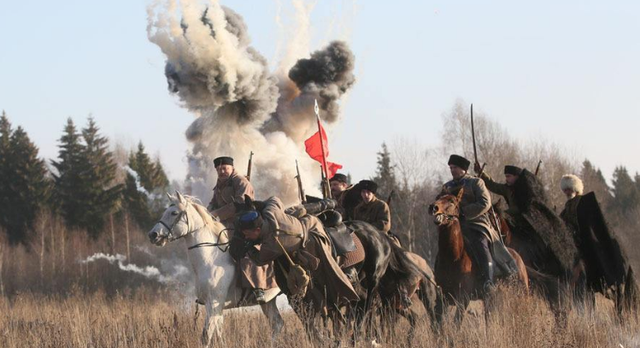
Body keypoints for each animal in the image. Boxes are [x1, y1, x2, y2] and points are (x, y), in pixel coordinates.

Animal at [149, 192, 284, 346]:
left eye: (174, 213)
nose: (153, 235)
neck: (210, 259)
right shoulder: (216, 308)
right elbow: (220, 335)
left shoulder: (213, 305)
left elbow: (206, 337)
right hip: (268, 301)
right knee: (277, 324)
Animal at [428, 189, 528, 324]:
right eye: (437, 197)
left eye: (452, 201)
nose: (434, 207)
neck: (452, 257)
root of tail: (517, 257)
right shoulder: (442, 298)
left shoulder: (463, 299)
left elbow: (456, 323)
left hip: (522, 293)